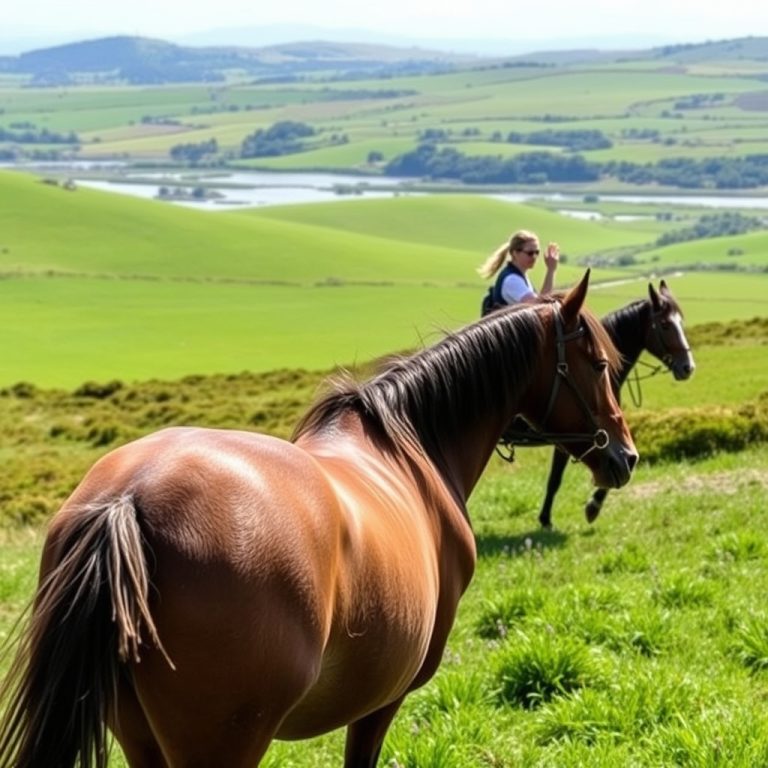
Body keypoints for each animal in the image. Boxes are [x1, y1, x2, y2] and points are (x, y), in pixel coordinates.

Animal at [0, 270, 637, 768]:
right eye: (599, 364)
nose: (625, 455)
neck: (414, 444)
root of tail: (129, 499)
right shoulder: (380, 703)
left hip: (140, 737)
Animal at [502, 279, 693, 529]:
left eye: (681, 321)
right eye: (665, 324)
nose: (688, 367)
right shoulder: (576, 437)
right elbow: (556, 478)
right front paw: (576, 511)